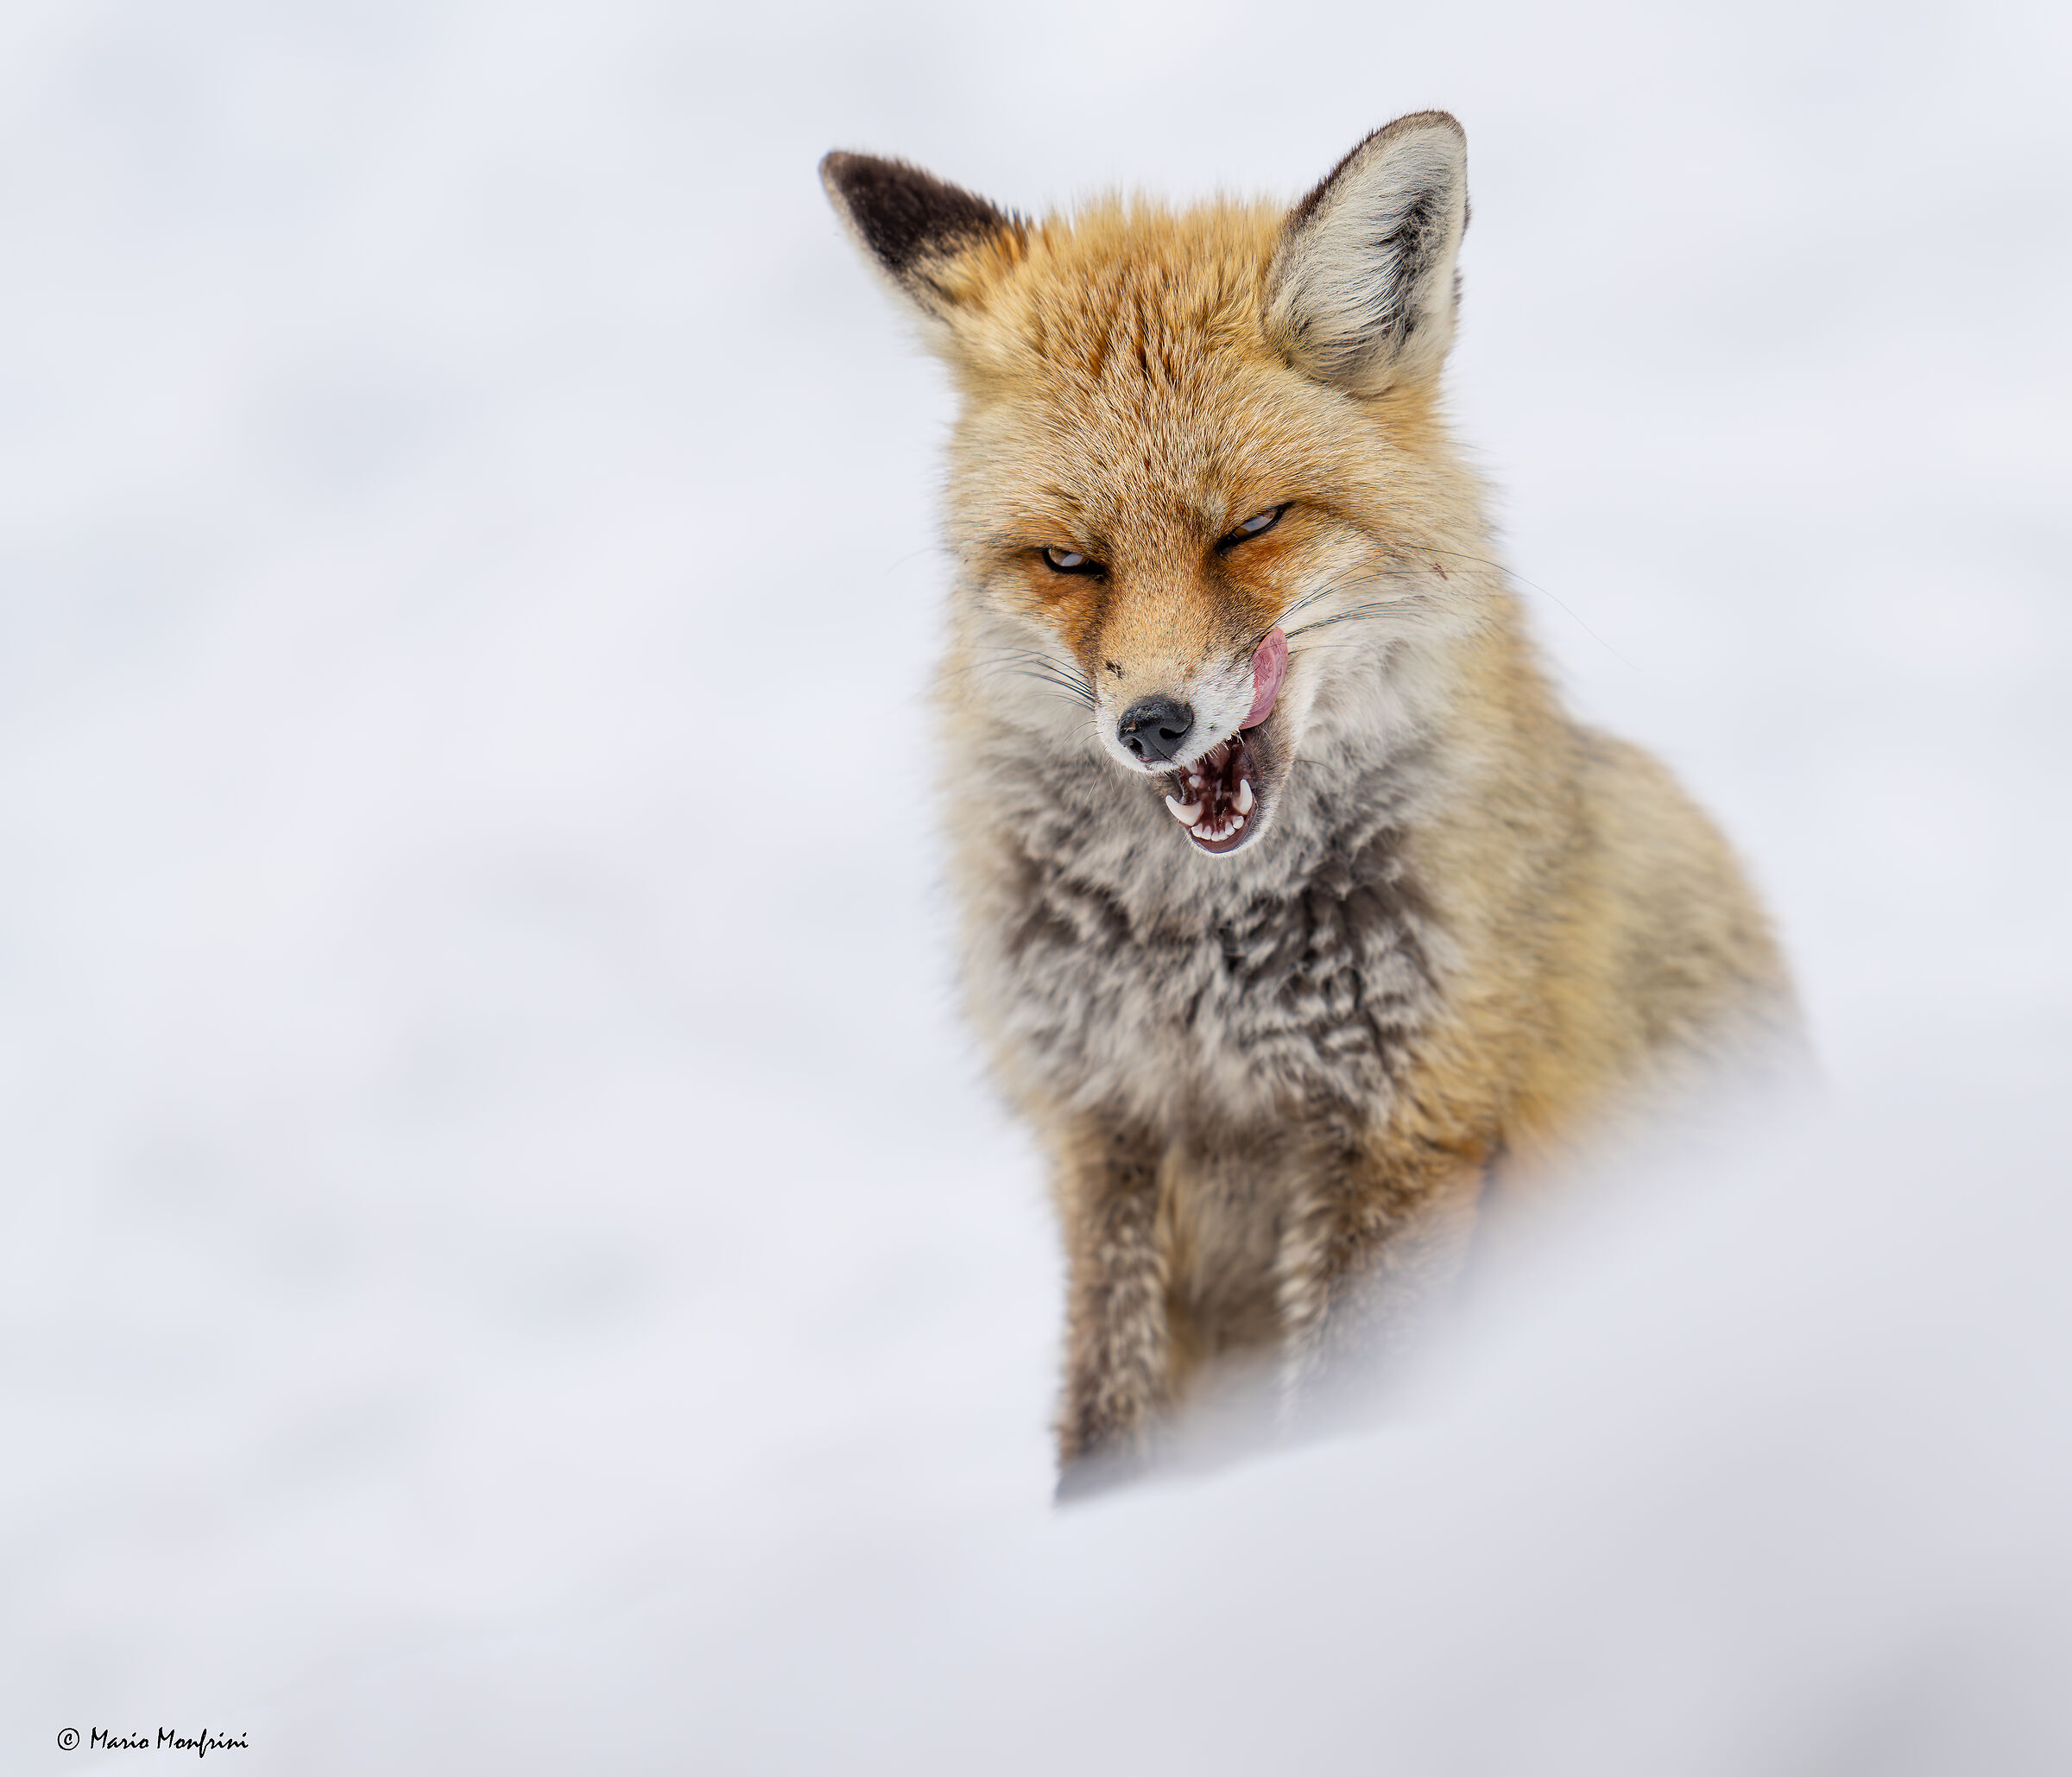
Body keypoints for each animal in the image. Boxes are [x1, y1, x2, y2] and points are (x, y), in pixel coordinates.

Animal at [821, 112, 1796, 1496]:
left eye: (1253, 526)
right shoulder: (1103, 1129)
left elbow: (1344, 1406)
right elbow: (1103, 1419)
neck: (1196, 954)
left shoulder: (1405, 1122)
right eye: (1070, 559)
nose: (1154, 723)